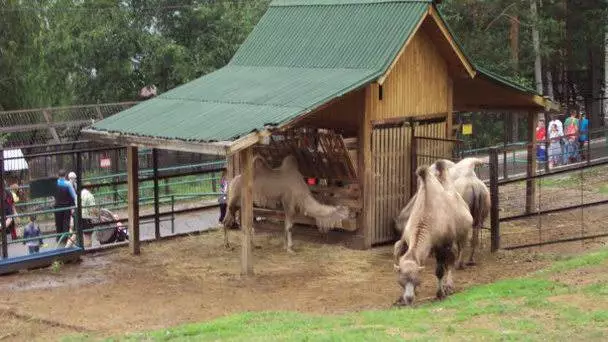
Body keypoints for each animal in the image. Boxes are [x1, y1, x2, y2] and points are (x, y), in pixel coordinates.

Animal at [392, 162, 472, 306]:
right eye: (401, 280)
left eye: (416, 279)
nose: (409, 299)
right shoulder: (406, 239)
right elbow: (399, 250)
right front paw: (401, 298)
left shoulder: (441, 245)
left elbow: (439, 271)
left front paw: (440, 294)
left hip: (462, 234)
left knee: (455, 257)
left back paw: (450, 284)